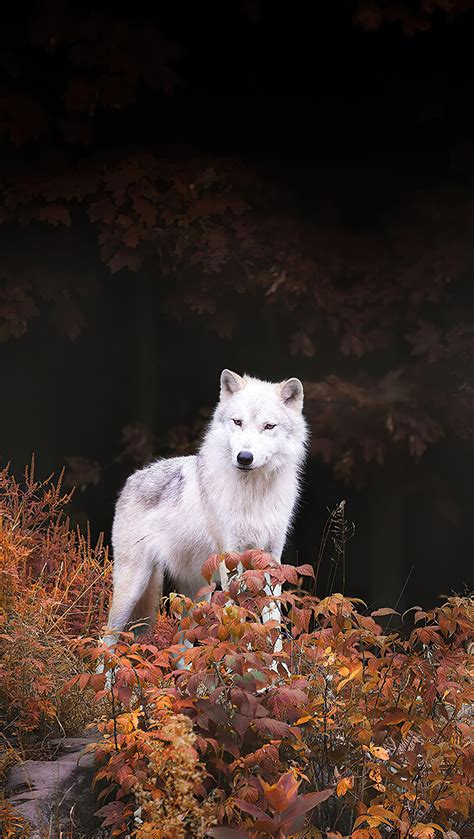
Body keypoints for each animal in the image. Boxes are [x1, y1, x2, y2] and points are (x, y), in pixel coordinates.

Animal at [103, 369, 308, 648]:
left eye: (269, 426)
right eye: (237, 422)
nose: (244, 457)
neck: (253, 495)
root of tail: (133, 478)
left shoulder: (271, 559)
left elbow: (272, 617)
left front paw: (276, 661)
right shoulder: (231, 557)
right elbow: (238, 614)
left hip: (196, 596)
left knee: (181, 647)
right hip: (133, 587)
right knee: (105, 639)